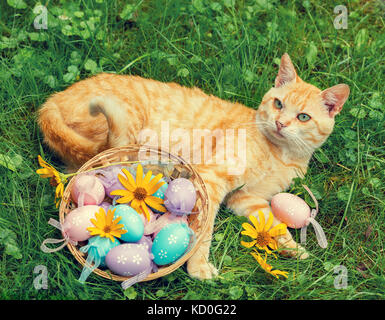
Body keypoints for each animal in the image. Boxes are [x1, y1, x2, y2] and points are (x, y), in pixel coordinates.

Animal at [38, 53, 348, 278]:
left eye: (304, 117)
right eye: (278, 104)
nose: (281, 123)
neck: (280, 154)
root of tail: (50, 103)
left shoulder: (248, 199)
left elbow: (274, 223)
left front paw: (294, 250)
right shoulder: (212, 179)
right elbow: (204, 233)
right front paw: (198, 267)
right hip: (125, 138)